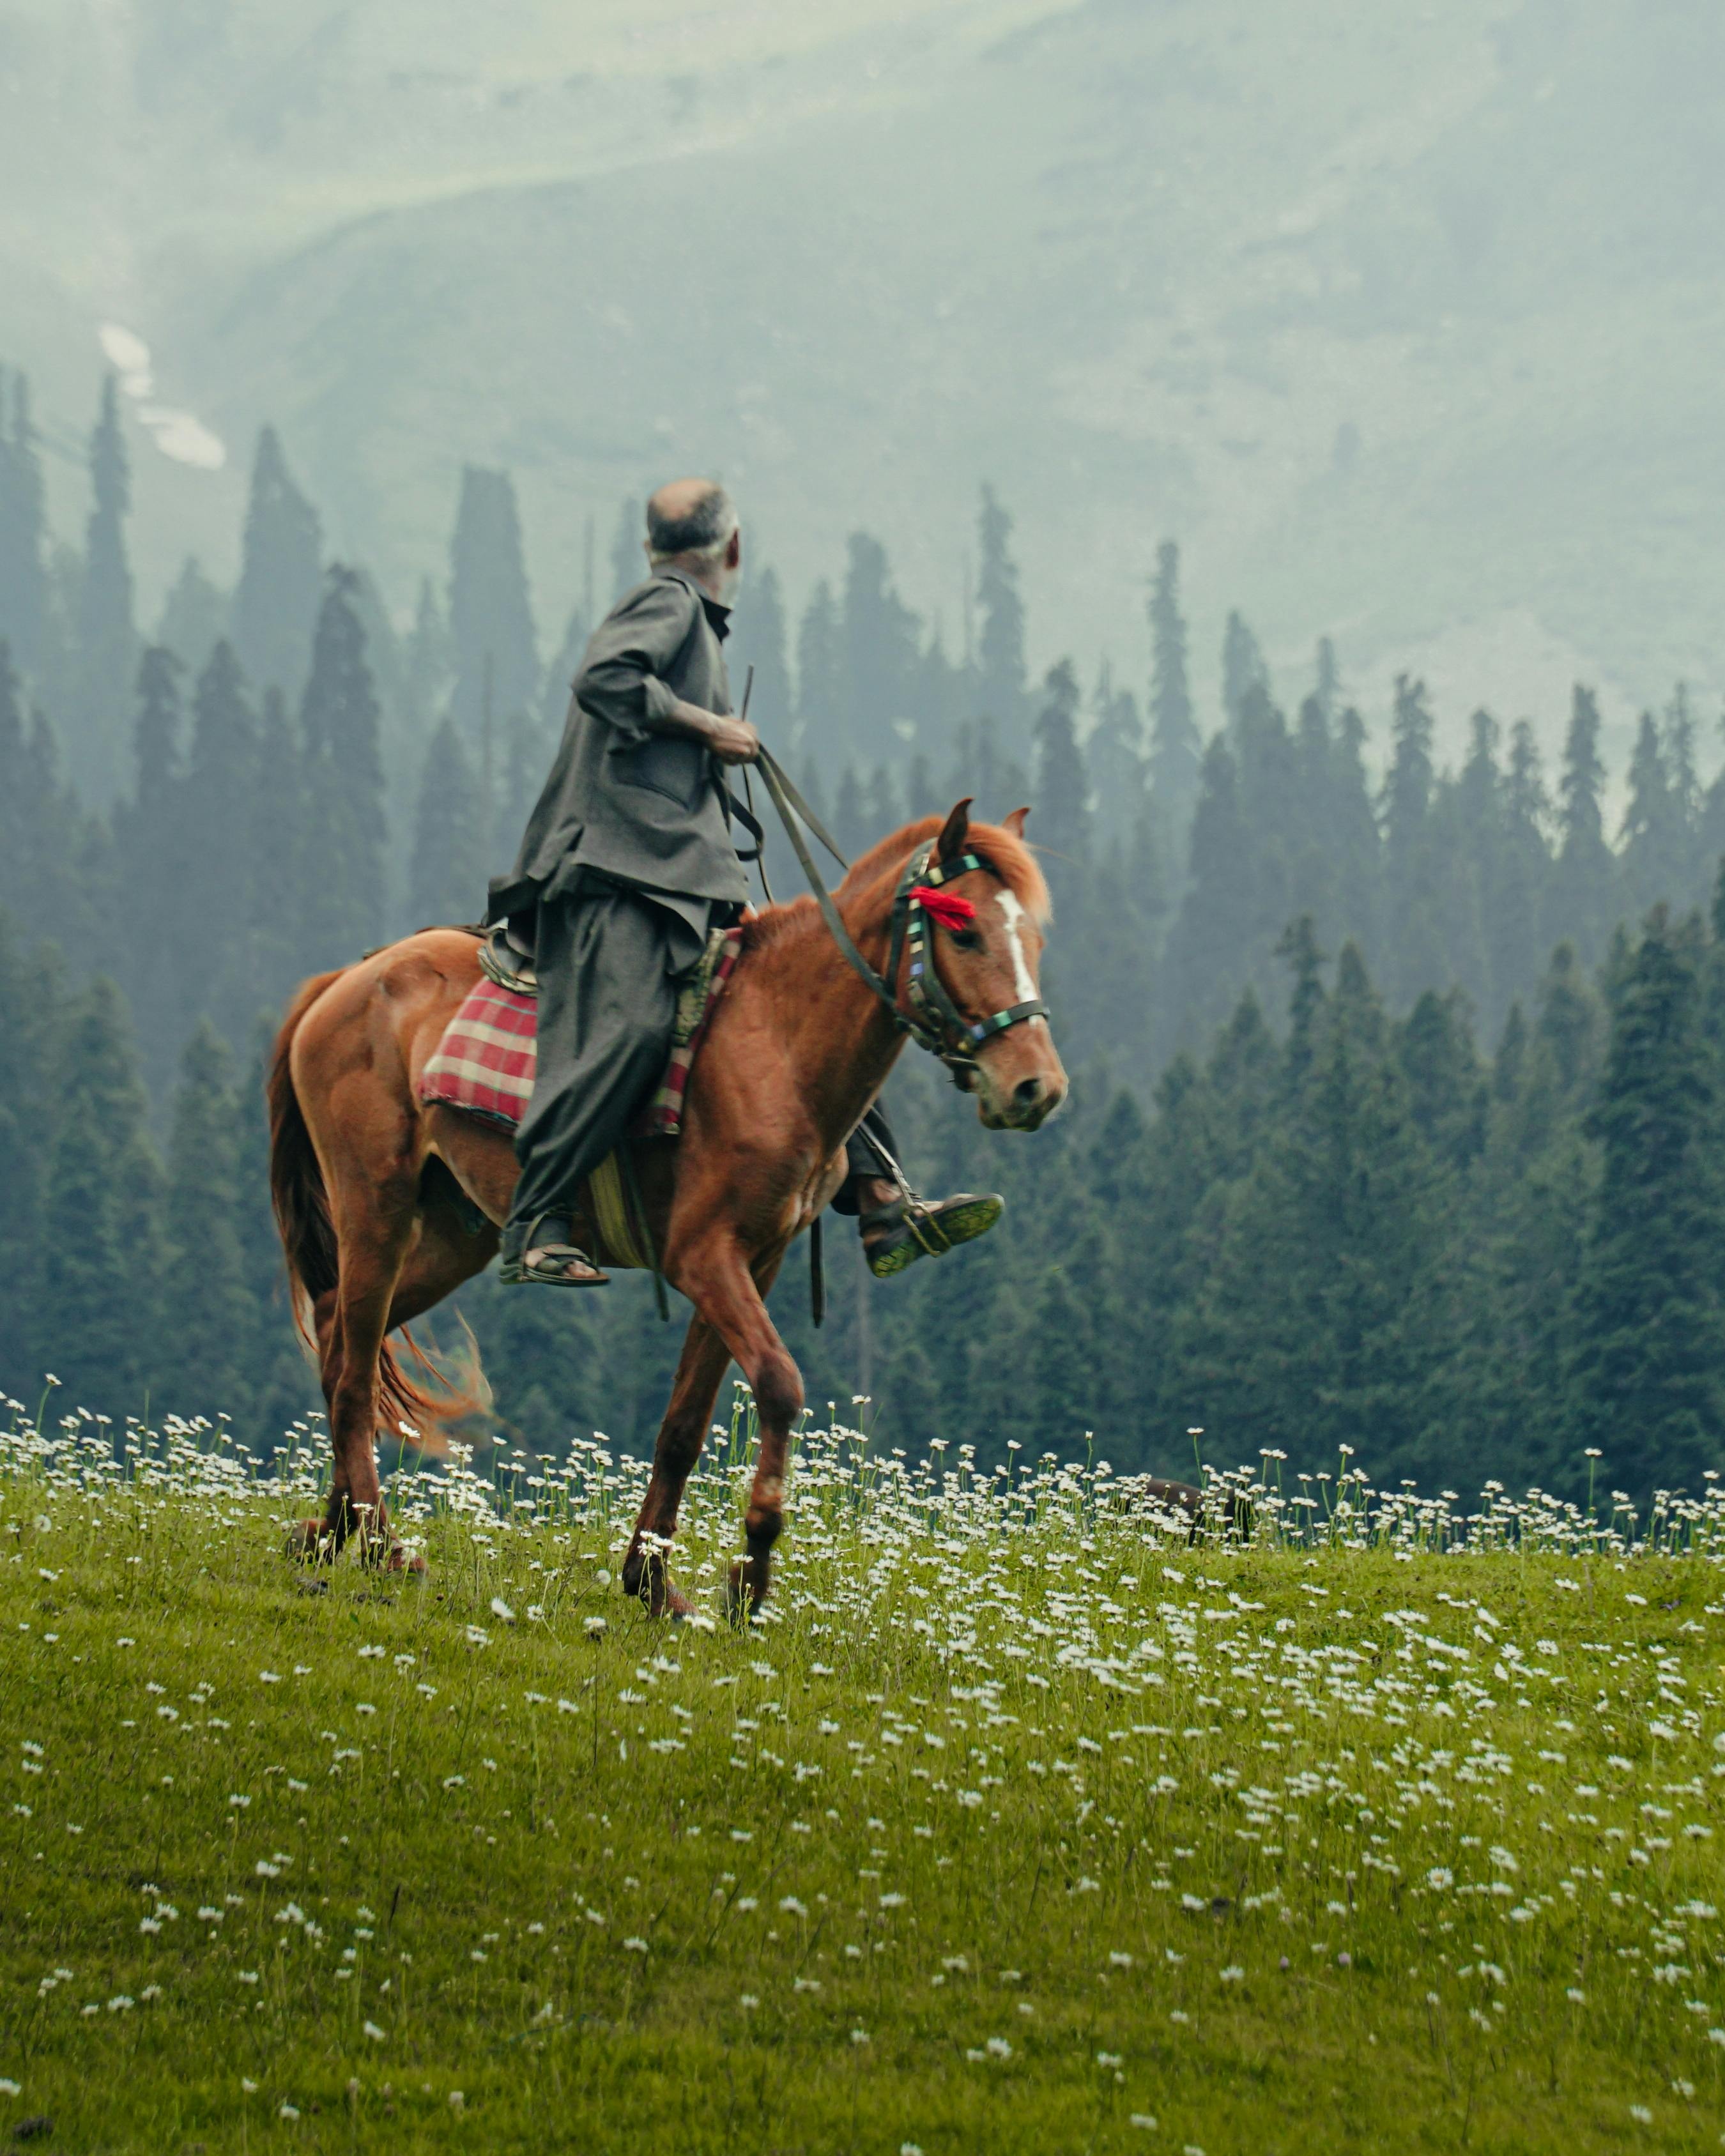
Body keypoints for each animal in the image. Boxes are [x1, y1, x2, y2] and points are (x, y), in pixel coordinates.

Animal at [266, 796, 1068, 1618]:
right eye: (965, 932)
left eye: (1033, 939)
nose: (1035, 1088)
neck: (776, 1043)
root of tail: (345, 980)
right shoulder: (703, 1257)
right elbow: (779, 1386)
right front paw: (751, 1571)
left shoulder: (758, 1258)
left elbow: (684, 1424)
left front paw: (651, 1581)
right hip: (376, 1204)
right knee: (353, 1369)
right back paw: (379, 1543)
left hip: (456, 1235)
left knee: (339, 1336)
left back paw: (331, 1530)